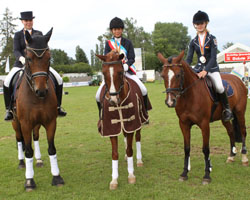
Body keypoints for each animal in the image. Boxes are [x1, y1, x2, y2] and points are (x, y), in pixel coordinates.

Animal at [12, 28, 64, 191]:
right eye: (28, 58)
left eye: (49, 58)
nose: (41, 91)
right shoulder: (25, 123)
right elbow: (28, 151)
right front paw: (29, 181)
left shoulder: (51, 122)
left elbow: (52, 149)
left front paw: (57, 177)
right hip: (15, 122)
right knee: (19, 139)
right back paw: (21, 163)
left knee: (35, 137)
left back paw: (39, 160)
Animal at [95, 50, 148, 190]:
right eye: (103, 73)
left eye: (120, 72)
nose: (113, 100)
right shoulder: (112, 128)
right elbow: (114, 153)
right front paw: (114, 180)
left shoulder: (131, 124)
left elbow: (130, 150)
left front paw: (131, 175)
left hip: (139, 123)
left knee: (138, 138)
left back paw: (139, 160)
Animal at [158, 51, 248, 184]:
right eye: (163, 76)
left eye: (178, 75)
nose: (170, 102)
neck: (189, 96)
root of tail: (239, 80)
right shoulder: (183, 124)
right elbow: (186, 148)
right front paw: (184, 173)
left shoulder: (204, 124)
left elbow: (206, 149)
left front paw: (207, 175)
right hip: (224, 118)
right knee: (231, 132)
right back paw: (231, 157)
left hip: (240, 112)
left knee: (242, 132)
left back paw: (244, 158)